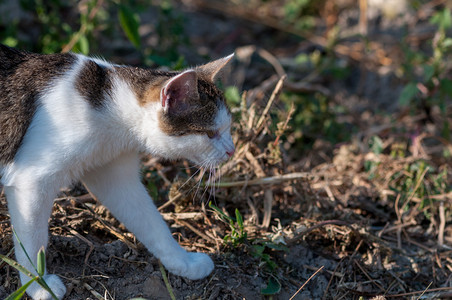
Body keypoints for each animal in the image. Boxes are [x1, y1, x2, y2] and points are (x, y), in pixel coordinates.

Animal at [1, 44, 237, 300]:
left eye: (227, 128)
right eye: (210, 133)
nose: (231, 151)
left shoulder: (115, 177)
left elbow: (152, 224)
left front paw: (183, 262)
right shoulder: (32, 181)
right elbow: (32, 240)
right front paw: (38, 283)